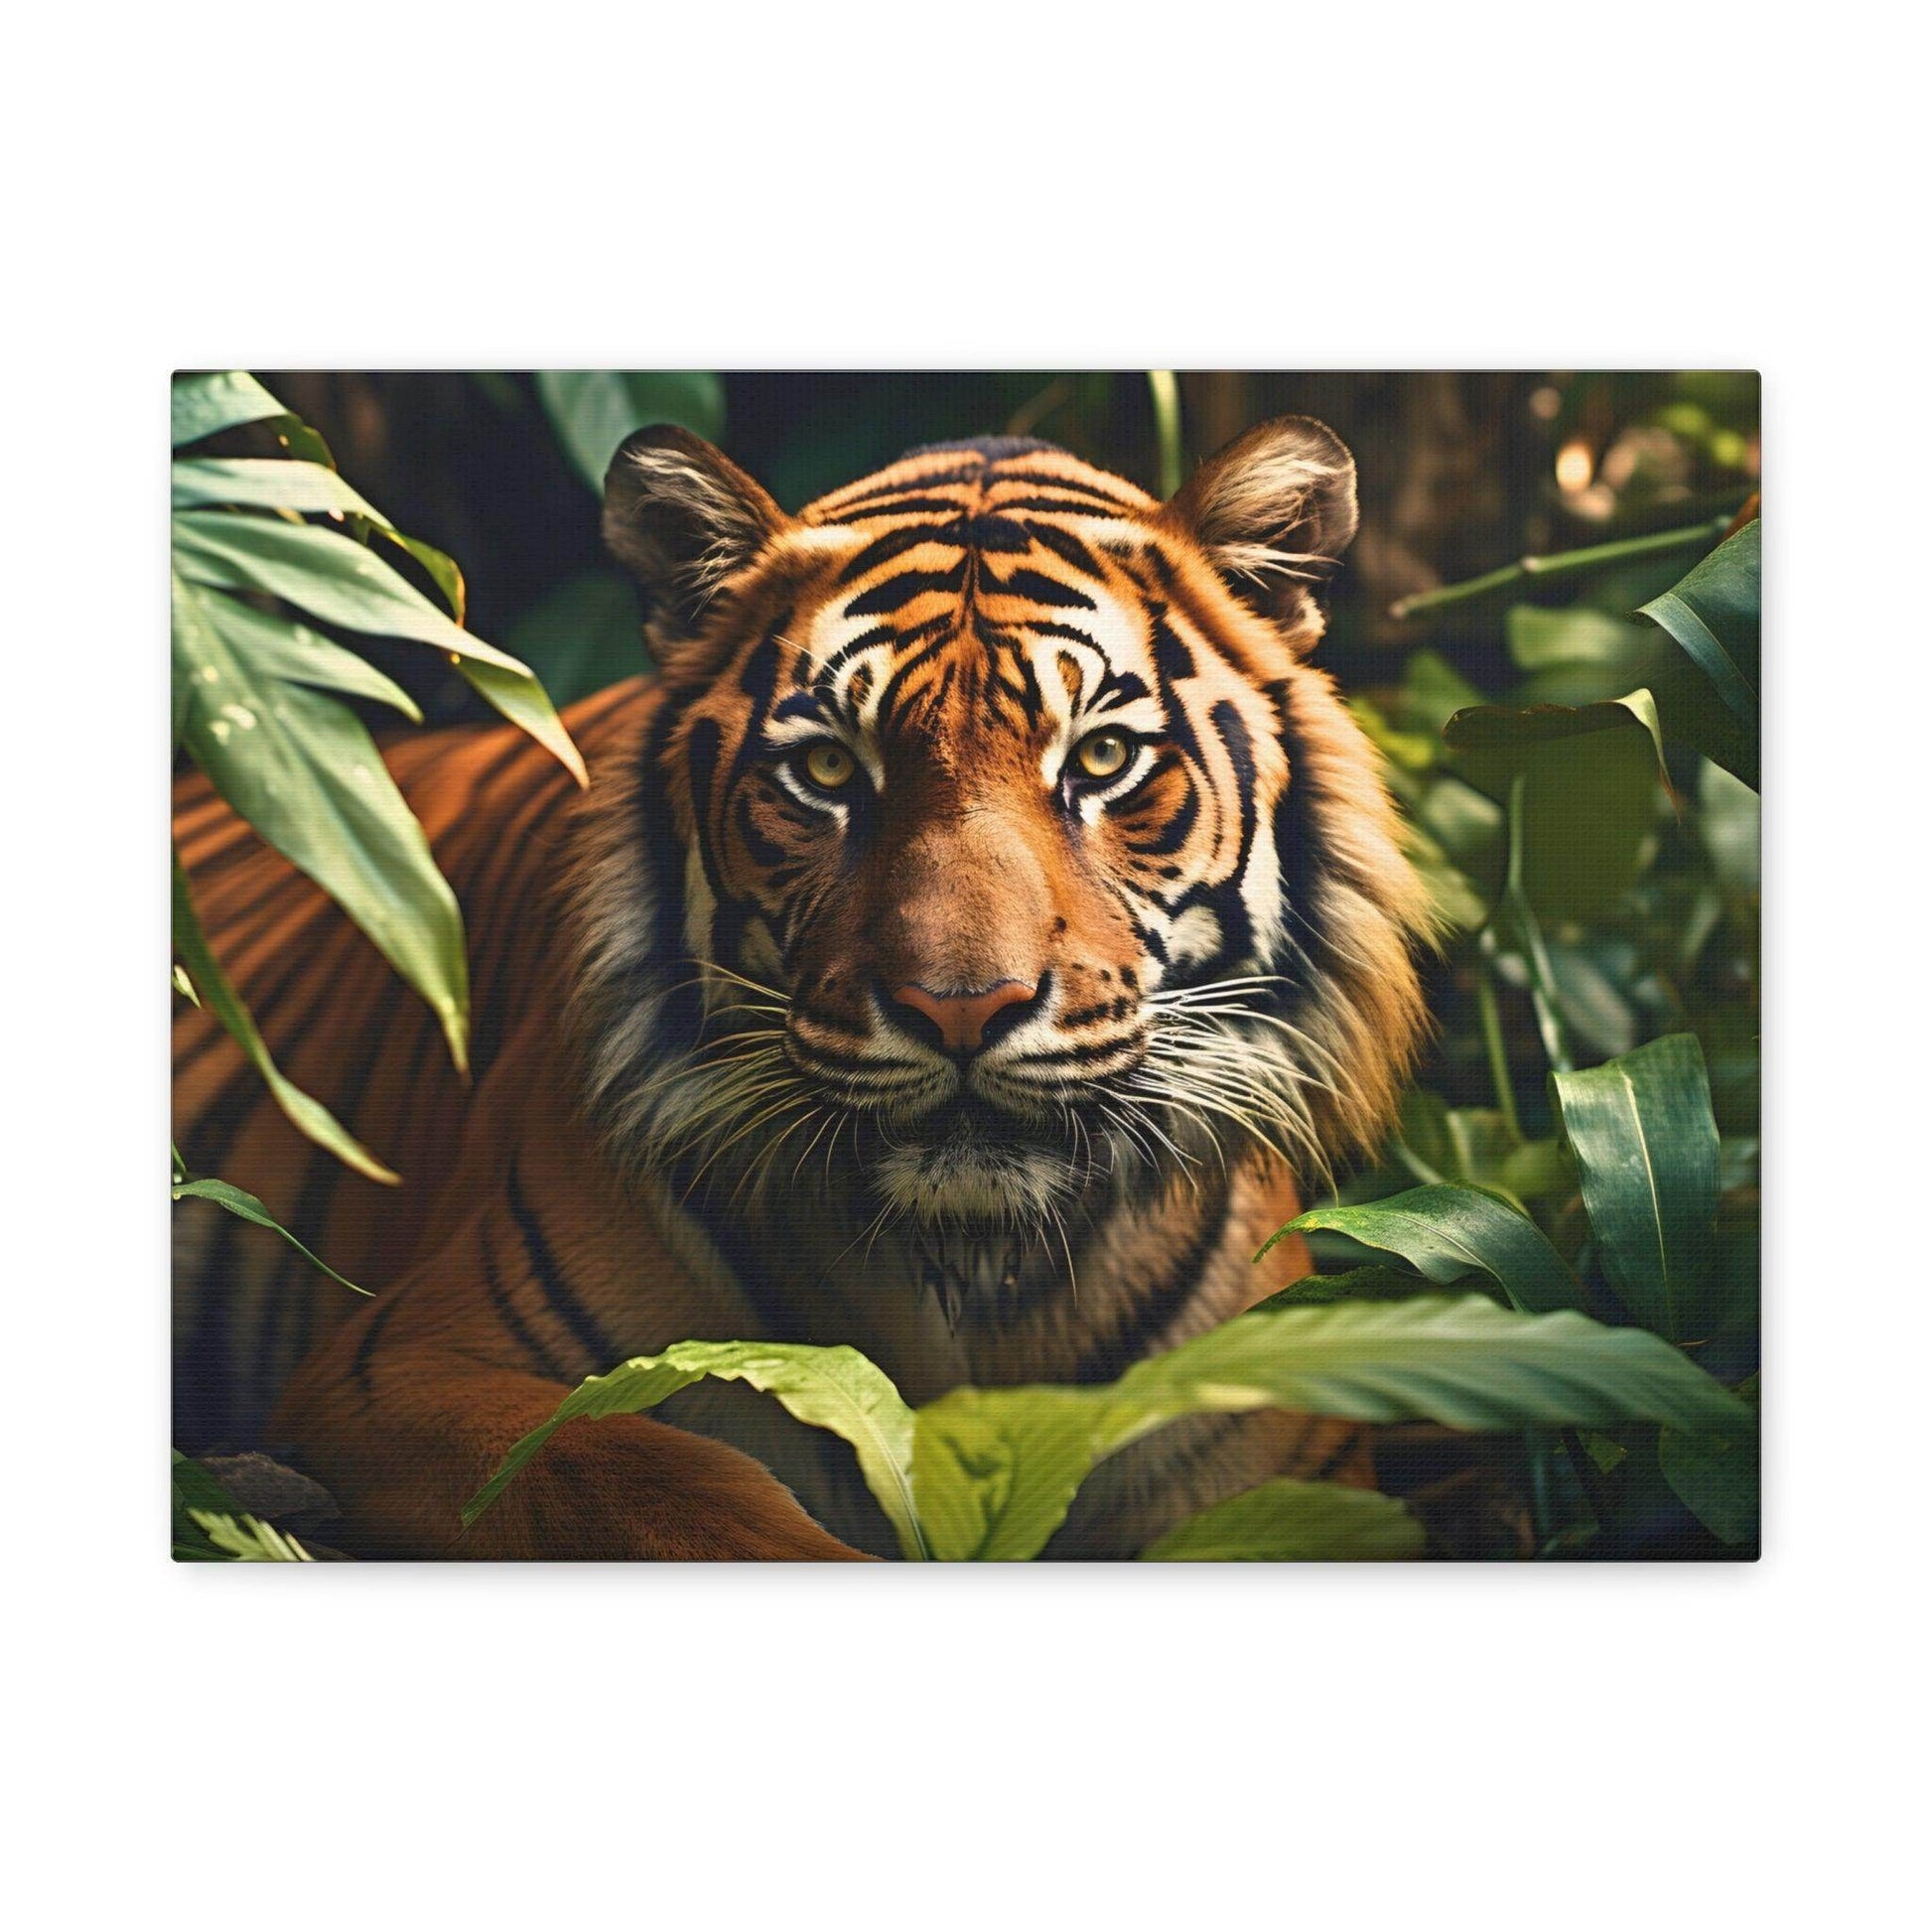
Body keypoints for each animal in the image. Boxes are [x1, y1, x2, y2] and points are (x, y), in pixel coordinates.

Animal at [171, 416, 1435, 1559]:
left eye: (1102, 758)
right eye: (827, 768)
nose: (960, 1007)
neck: (968, 1273)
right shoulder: (403, 1367)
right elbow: (656, 1479)